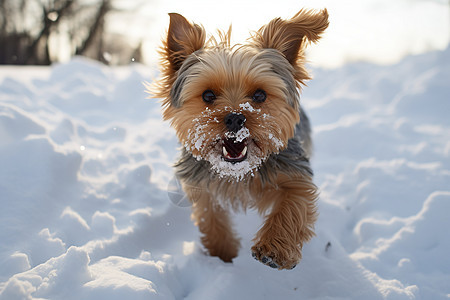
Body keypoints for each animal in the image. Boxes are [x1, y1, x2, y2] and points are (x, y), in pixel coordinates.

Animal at [153, 9, 328, 270]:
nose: (236, 118)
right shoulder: (201, 185)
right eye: (208, 95)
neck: (238, 174)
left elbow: (293, 204)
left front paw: (274, 248)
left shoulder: (295, 172)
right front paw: (221, 256)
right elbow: (211, 219)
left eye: (260, 95)